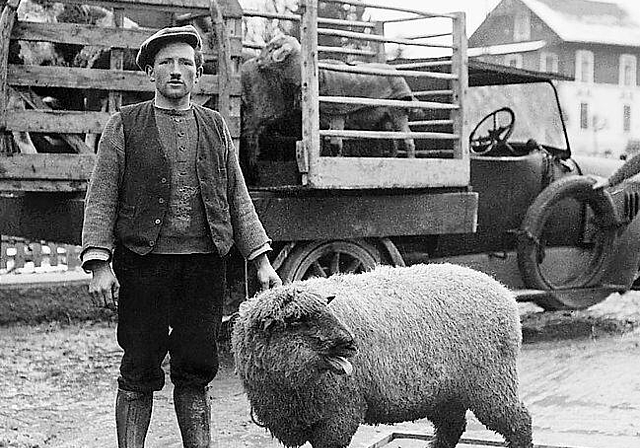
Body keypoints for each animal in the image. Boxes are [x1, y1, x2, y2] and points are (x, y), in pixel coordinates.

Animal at [232, 262, 532, 448]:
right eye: (297, 320)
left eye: (327, 310)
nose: (351, 343)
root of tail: (502, 290)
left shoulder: (340, 414)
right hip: (447, 392)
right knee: (452, 427)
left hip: (491, 382)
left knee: (519, 422)